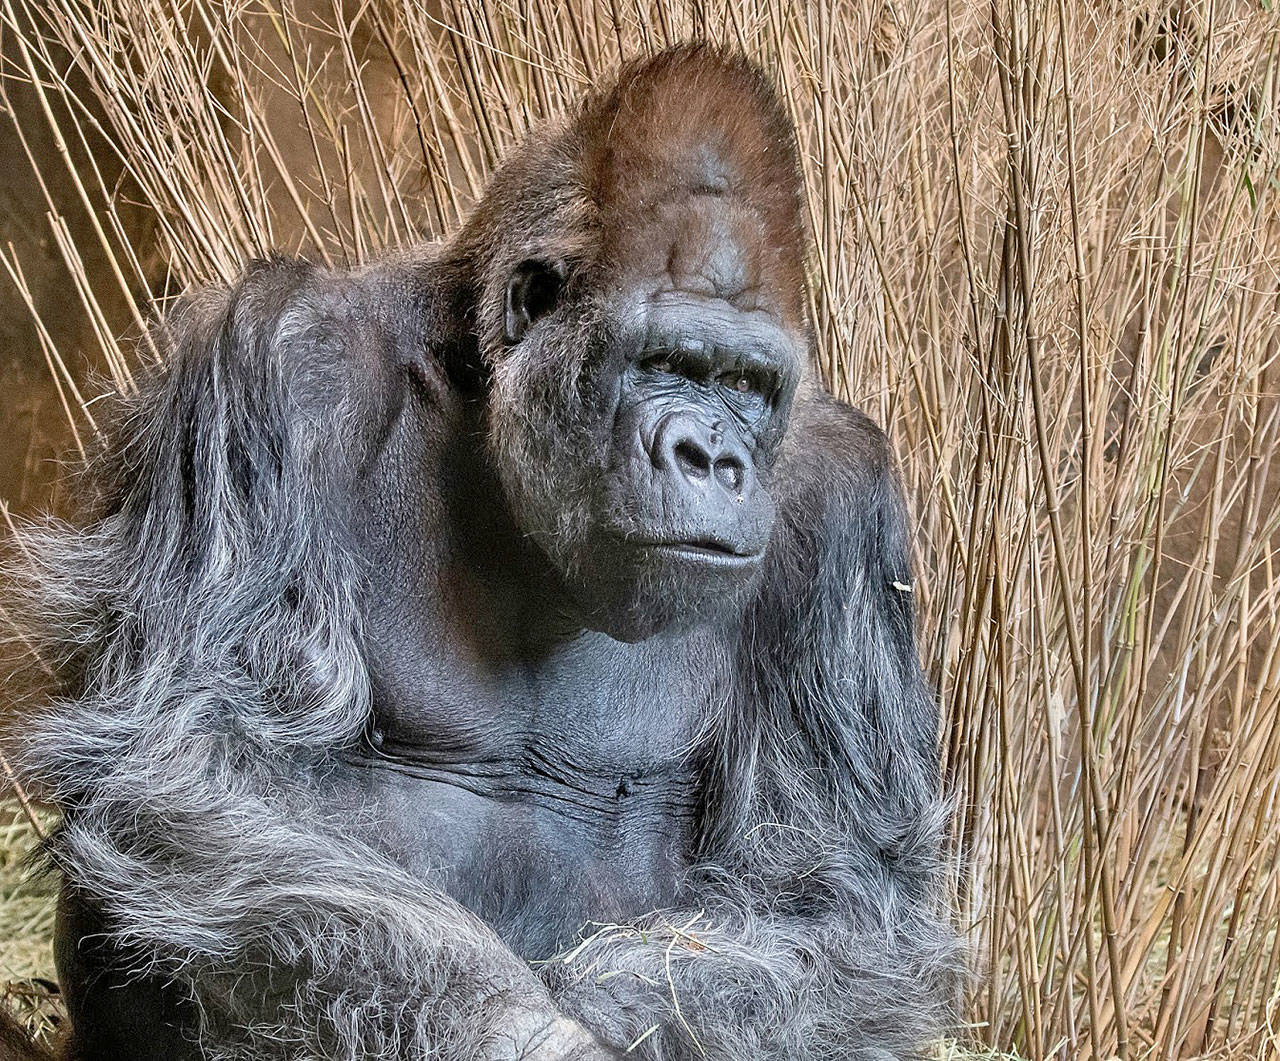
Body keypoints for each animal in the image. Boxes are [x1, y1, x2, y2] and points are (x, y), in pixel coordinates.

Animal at [2, 44, 961, 1061]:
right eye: (665, 363)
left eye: (746, 383)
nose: (713, 457)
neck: (477, 381)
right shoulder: (275, 364)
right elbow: (196, 754)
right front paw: (531, 1036)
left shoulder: (840, 507)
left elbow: (826, 893)